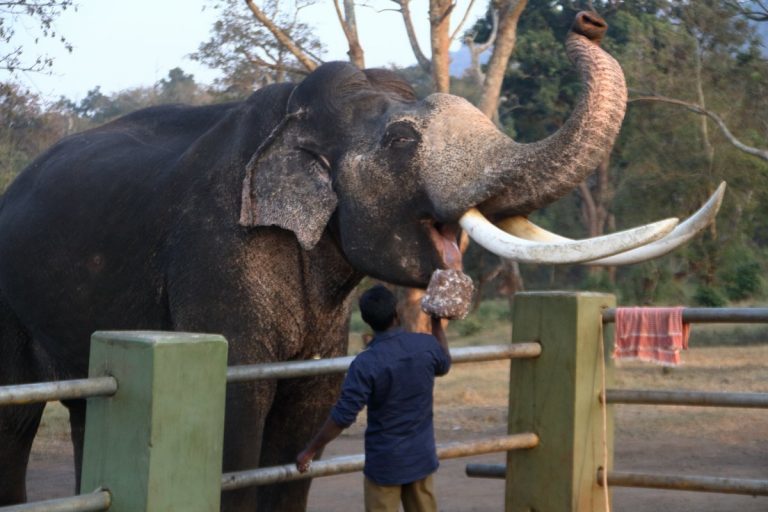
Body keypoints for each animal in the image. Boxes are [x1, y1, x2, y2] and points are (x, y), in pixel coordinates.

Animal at [0, 12, 720, 512]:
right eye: (401, 141)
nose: (588, 21)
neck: (292, 113)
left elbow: (307, 416)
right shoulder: (216, 253)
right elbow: (235, 417)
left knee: (85, 409)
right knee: (18, 419)